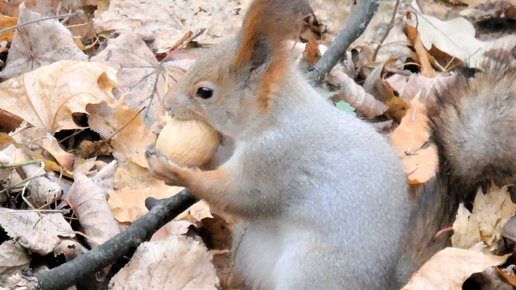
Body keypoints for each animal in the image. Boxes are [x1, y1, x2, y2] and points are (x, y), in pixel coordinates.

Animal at [145, 0, 516, 288]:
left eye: (205, 92)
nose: (168, 104)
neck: (272, 117)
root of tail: (381, 284)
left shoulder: (277, 158)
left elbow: (242, 195)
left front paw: (175, 171)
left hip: (312, 270)